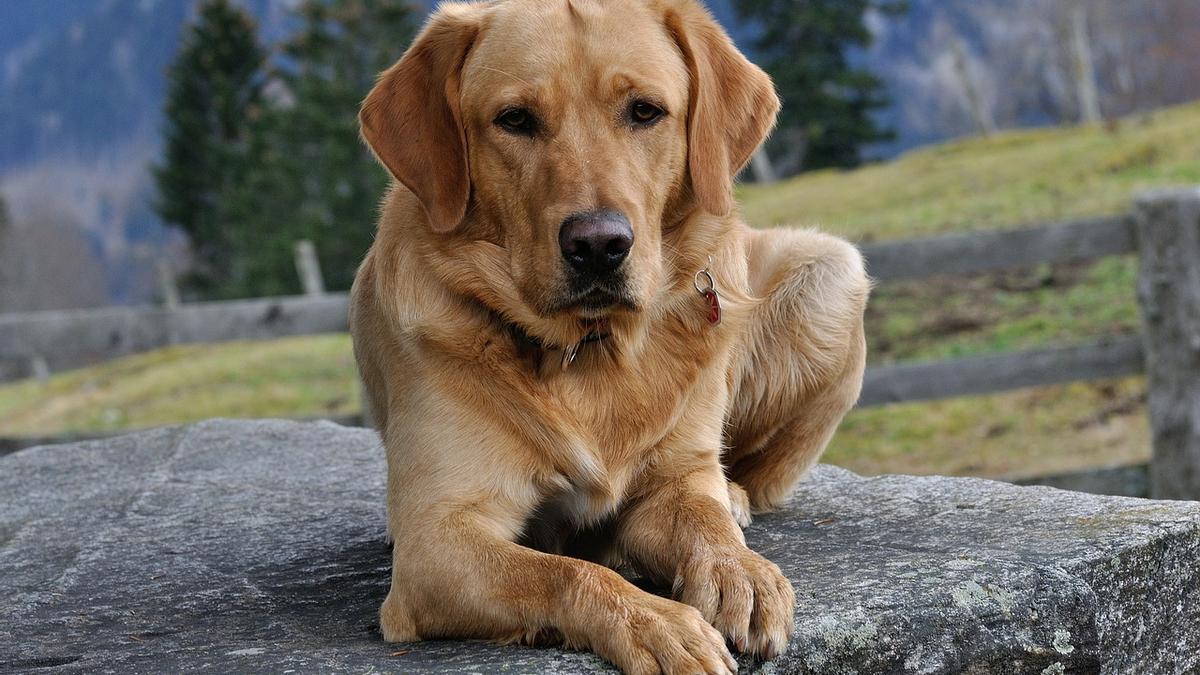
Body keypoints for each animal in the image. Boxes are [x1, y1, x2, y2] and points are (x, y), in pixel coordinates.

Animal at [350, 0, 868, 662]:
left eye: (645, 111)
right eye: (514, 119)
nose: (599, 245)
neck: (588, 348)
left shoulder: (672, 481)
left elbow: (702, 521)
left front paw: (738, 571)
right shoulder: (436, 540)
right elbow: (566, 573)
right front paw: (656, 623)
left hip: (832, 272)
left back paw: (734, 498)